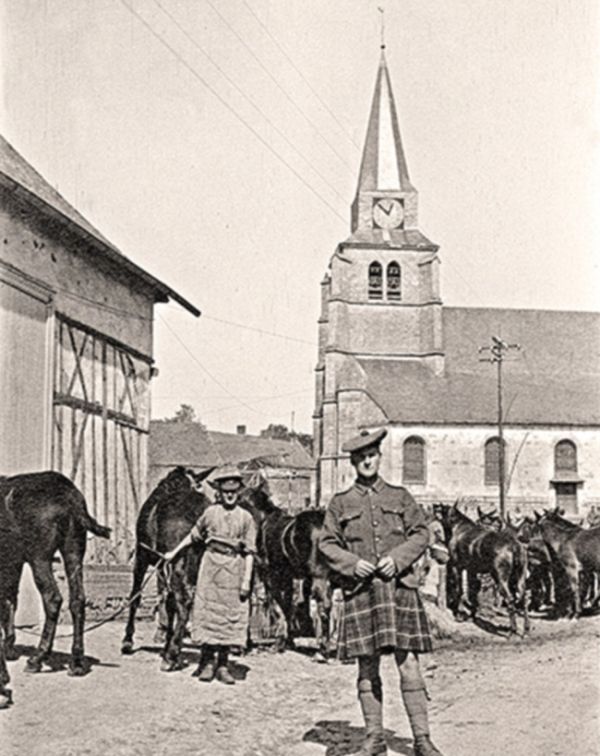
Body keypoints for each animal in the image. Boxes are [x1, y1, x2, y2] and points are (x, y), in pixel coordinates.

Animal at [0, 470, 110, 700]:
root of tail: (71, 497)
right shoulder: (13, 561)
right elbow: (10, 599)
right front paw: (9, 647)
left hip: (40, 558)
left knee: (53, 599)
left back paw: (38, 658)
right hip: (73, 552)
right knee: (77, 600)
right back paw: (77, 662)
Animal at [120, 470, 213, 672]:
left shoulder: (143, 556)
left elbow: (136, 596)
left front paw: (127, 641)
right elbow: (168, 602)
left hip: (175, 563)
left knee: (184, 601)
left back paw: (171, 656)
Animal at [239, 482, 332, 660]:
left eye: (239, 498)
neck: (263, 520)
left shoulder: (270, 575)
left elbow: (276, 605)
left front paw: (279, 642)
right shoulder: (287, 576)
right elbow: (287, 605)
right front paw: (289, 640)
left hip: (320, 577)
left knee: (324, 606)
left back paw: (323, 650)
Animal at [436, 504, 528, 636]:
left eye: (440, 510)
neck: (459, 528)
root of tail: (514, 546)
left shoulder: (457, 567)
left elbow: (460, 590)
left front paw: (458, 614)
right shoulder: (472, 570)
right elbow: (473, 592)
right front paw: (472, 615)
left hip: (500, 578)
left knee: (510, 599)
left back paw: (512, 630)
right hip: (519, 577)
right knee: (523, 598)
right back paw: (526, 629)